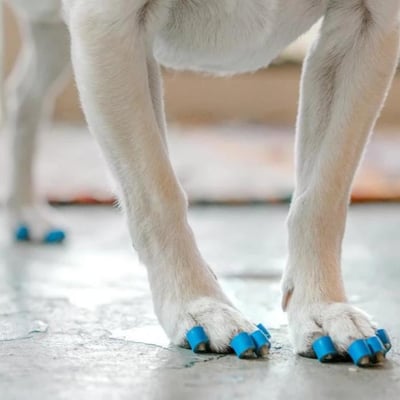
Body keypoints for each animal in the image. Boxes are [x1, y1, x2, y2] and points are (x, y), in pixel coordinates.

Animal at [5, 0, 400, 362]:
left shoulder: (368, 26)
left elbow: (322, 196)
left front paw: (323, 309)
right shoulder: (109, 27)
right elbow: (158, 193)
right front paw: (199, 306)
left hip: (53, 35)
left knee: (24, 98)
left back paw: (25, 212)